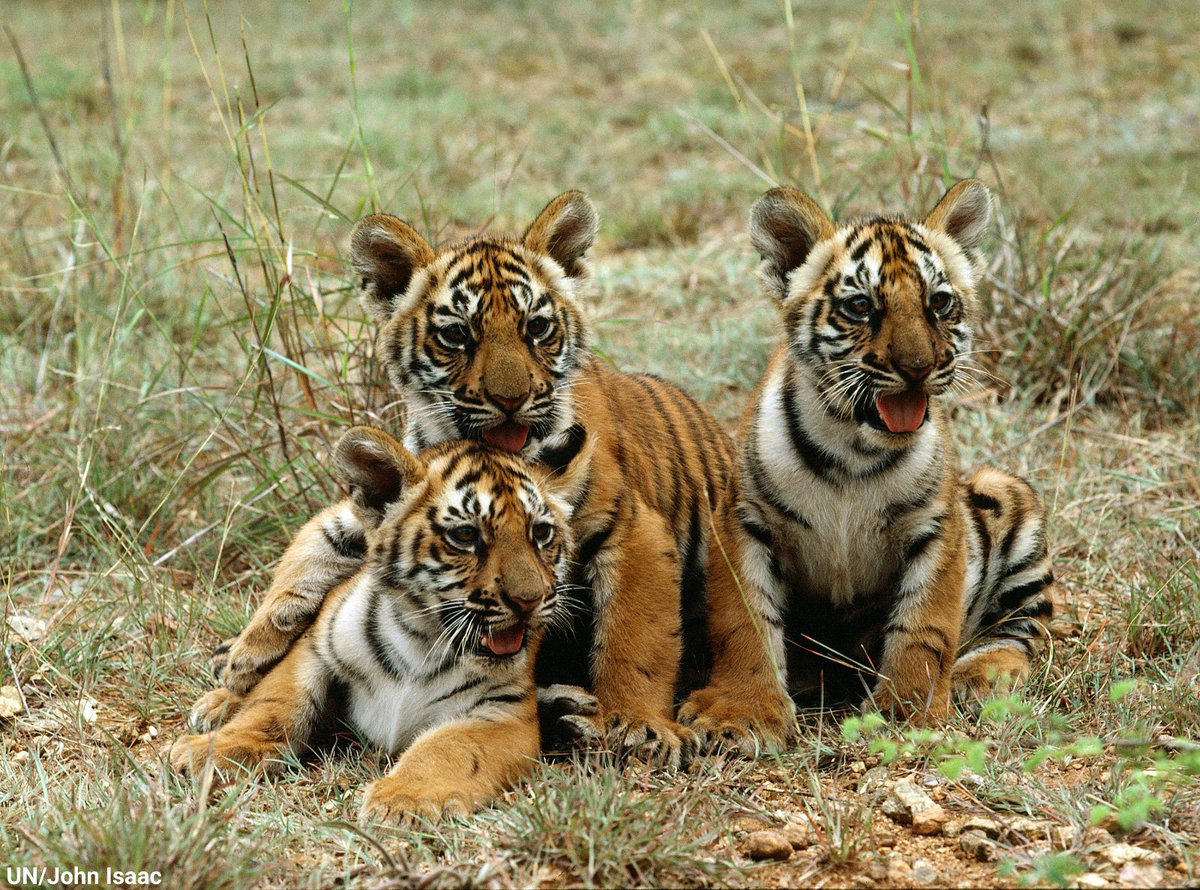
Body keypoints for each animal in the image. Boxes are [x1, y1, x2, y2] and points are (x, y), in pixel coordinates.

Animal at [172, 427, 574, 819]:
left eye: (541, 533)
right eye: (465, 535)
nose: (530, 600)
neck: (423, 641)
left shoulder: (506, 711)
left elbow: (451, 745)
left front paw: (403, 798)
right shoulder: (313, 647)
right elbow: (274, 707)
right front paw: (206, 751)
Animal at [194, 191, 795, 765]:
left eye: (538, 327)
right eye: (457, 335)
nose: (511, 399)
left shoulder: (632, 527)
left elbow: (636, 635)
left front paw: (637, 722)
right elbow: (309, 553)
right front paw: (242, 666)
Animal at [734, 179, 1055, 718]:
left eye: (940, 302)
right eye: (861, 306)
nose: (918, 367)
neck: (851, 449)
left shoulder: (936, 527)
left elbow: (923, 626)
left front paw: (907, 711)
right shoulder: (749, 521)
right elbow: (750, 621)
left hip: (1007, 496)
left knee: (1024, 627)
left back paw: (979, 675)